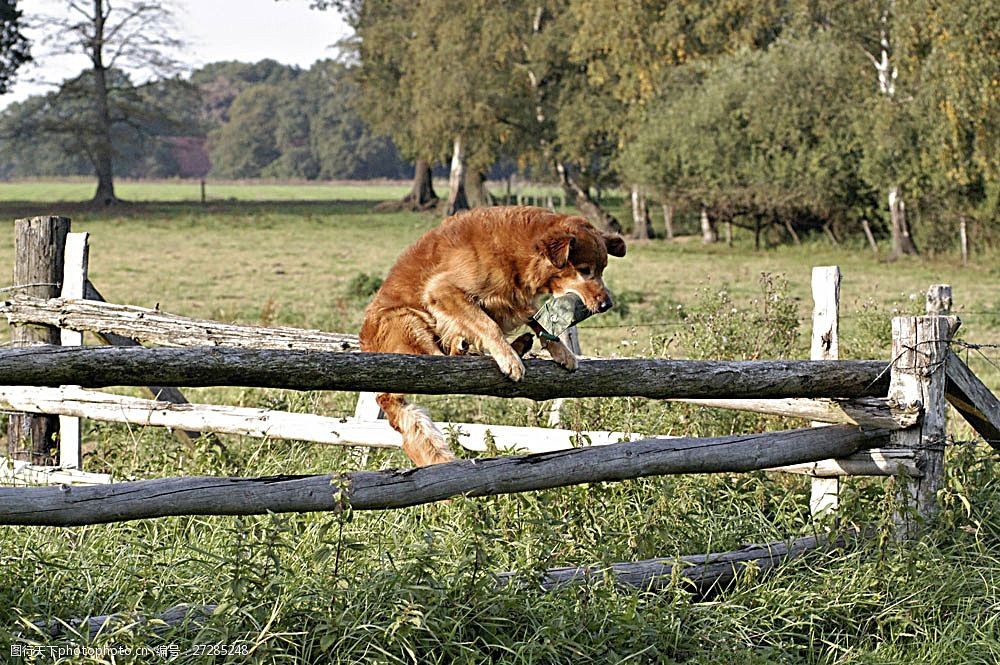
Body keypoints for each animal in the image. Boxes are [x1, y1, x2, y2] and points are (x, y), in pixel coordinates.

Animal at [360, 205, 624, 464]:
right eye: (584, 271)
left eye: (602, 270)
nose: (606, 305)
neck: (518, 252)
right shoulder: (442, 289)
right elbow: (488, 326)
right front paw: (509, 360)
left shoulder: (513, 299)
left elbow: (536, 321)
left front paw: (561, 351)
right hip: (405, 318)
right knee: (439, 360)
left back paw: (514, 345)